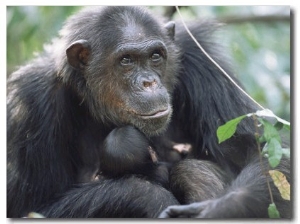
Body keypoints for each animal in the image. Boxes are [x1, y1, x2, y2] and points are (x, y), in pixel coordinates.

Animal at [6, 5, 290, 219]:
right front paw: (149, 197)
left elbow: (260, 150)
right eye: (126, 60)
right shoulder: (31, 104)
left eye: (155, 56)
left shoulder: (201, 60)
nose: (149, 82)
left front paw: (213, 210)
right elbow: (31, 208)